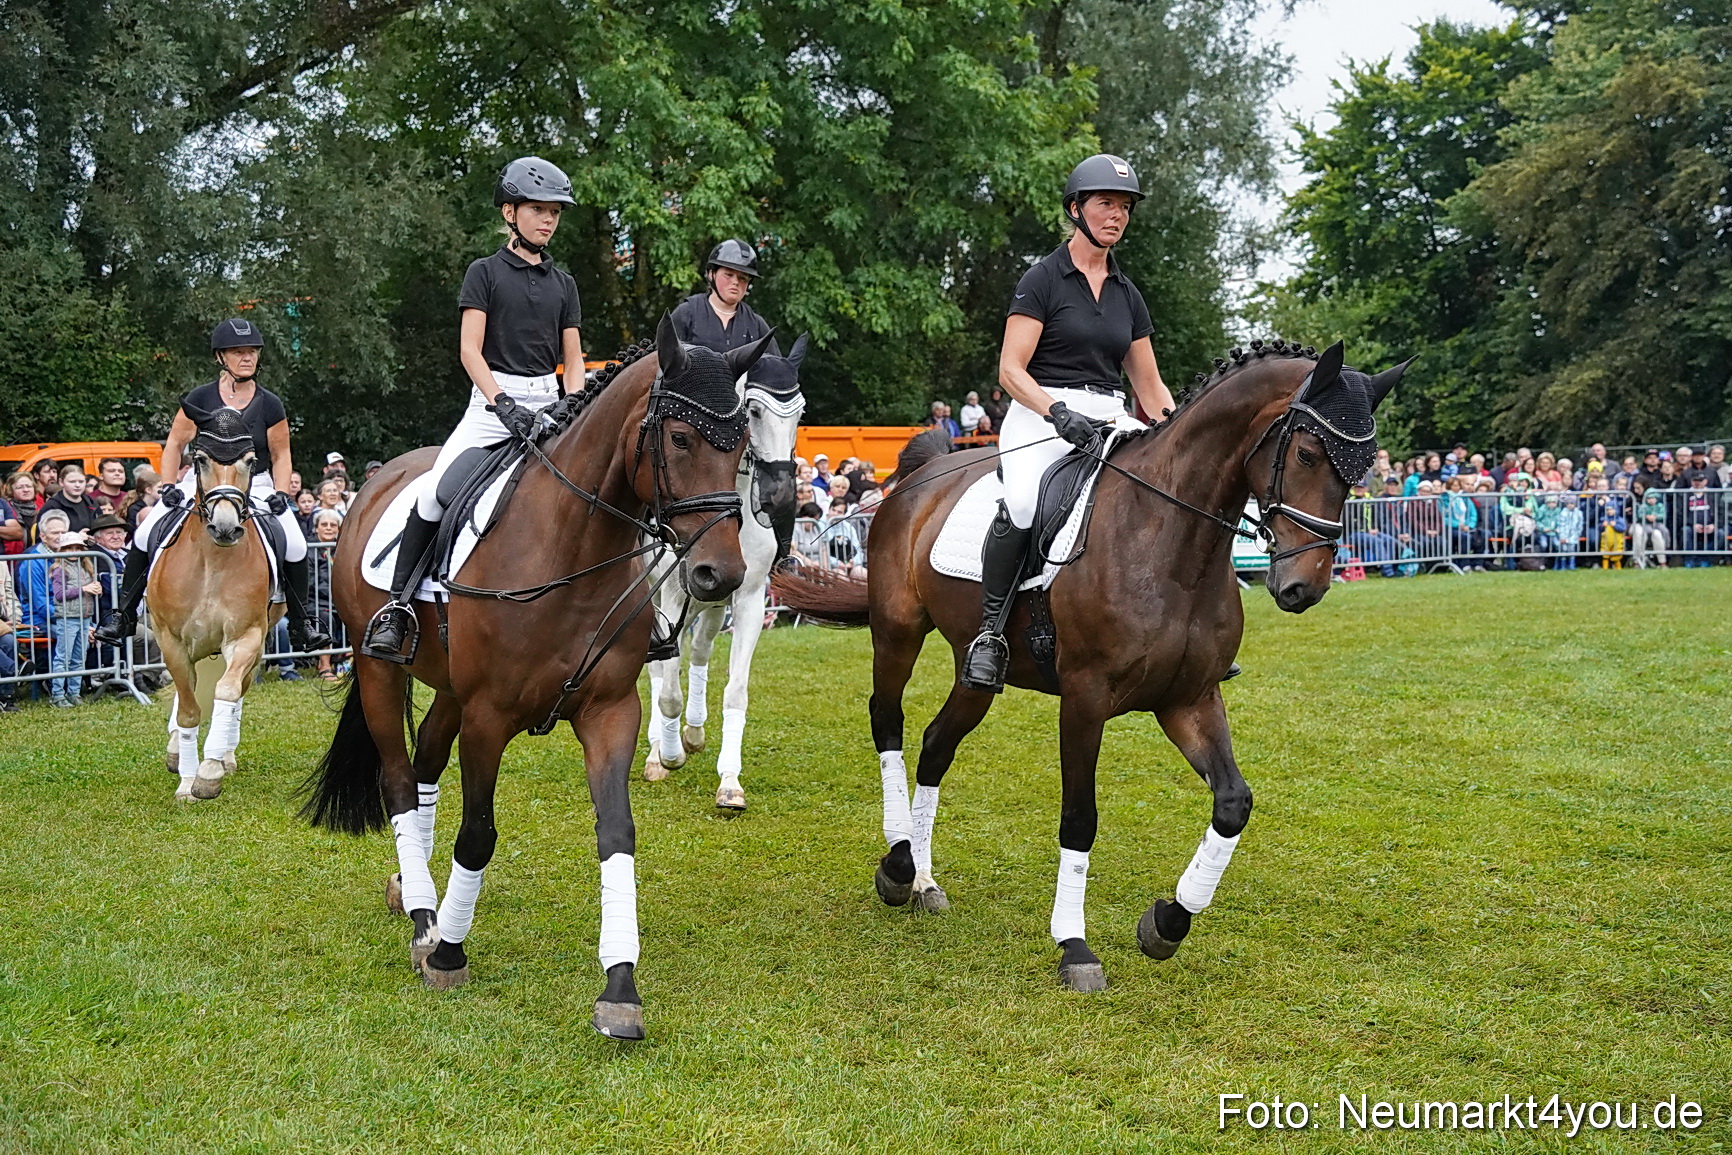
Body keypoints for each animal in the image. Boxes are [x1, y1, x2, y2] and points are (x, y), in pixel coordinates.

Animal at [152, 409, 282, 802]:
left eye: (250, 461)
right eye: (200, 460)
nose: (225, 528)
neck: (212, 563)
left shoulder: (246, 637)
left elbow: (226, 691)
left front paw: (209, 771)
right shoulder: (171, 642)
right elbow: (188, 709)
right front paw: (186, 782)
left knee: (235, 690)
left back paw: (223, 756)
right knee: (189, 693)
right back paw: (177, 753)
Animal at [302, 316, 769, 1041]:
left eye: (742, 445)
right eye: (680, 438)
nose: (721, 574)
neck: (570, 545)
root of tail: (380, 480)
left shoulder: (610, 711)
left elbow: (617, 833)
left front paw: (620, 987)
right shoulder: (489, 716)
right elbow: (478, 833)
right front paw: (449, 952)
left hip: (449, 690)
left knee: (426, 759)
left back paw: (414, 889)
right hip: (380, 668)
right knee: (401, 780)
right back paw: (425, 919)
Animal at [643, 335, 809, 809]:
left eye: (800, 413)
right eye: (752, 411)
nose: (779, 495)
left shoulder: (748, 599)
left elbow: (735, 688)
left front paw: (730, 782)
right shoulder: (672, 598)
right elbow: (668, 692)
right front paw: (670, 755)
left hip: (714, 605)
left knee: (698, 651)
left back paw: (695, 732)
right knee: (659, 672)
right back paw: (658, 752)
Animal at [771, 340, 1407, 990]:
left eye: (1358, 470)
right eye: (1306, 453)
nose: (1304, 587)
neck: (1173, 543)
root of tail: (921, 477)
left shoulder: (1189, 698)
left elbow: (1233, 802)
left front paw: (1167, 923)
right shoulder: (1085, 698)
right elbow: (1080, 818)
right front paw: (1074, 946)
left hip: (978, 668)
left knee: (936, 742)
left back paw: (922, 878)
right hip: (898, 631)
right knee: (889, 721)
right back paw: (899, 862)